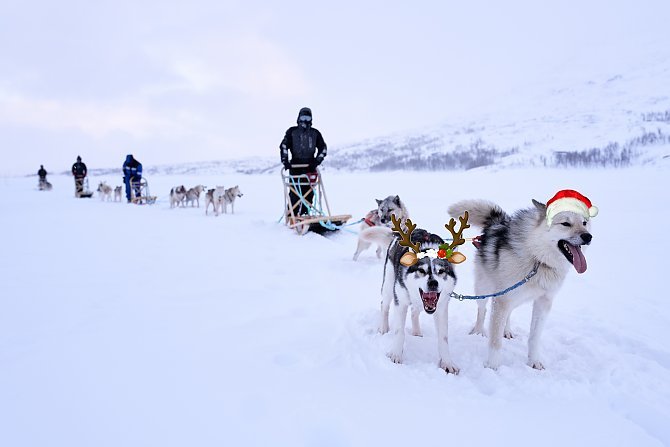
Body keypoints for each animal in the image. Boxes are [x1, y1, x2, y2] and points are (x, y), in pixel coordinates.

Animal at [448, 192, 600, 372]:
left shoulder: (543, 302)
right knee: (482, 310)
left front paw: (534, 361)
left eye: (584, 223)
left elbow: (534, 337)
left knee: (508, 314)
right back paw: (478, 331)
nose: (588, 236)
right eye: (566, 223)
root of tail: (497, 223)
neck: (538, 259)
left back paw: (507, 330)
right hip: (484, 288)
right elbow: (495, 341)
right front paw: (492, 366)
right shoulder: (502, 299)